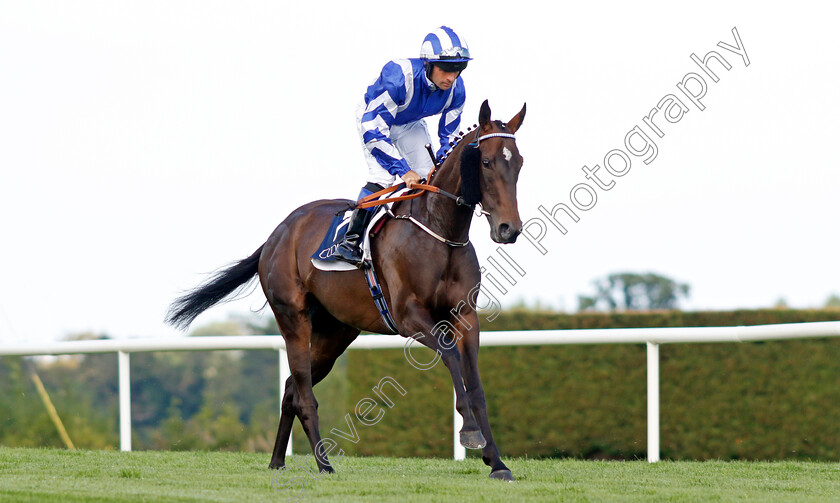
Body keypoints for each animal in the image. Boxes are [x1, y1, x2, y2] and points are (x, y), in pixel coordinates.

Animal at [166, 100, 524, 482]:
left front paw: (496, 462)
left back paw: (277, 461)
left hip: (335, 332)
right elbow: (452, 357)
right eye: (485, 162)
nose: (509, 228)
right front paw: (470, 433)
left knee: (291, 388)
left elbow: (476, 385)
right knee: (304, 394)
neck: (439, 232)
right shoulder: (410, 317)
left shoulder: (465, 316)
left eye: (518, 161)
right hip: (293, 319)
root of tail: (279, 233)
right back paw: (323, 464)